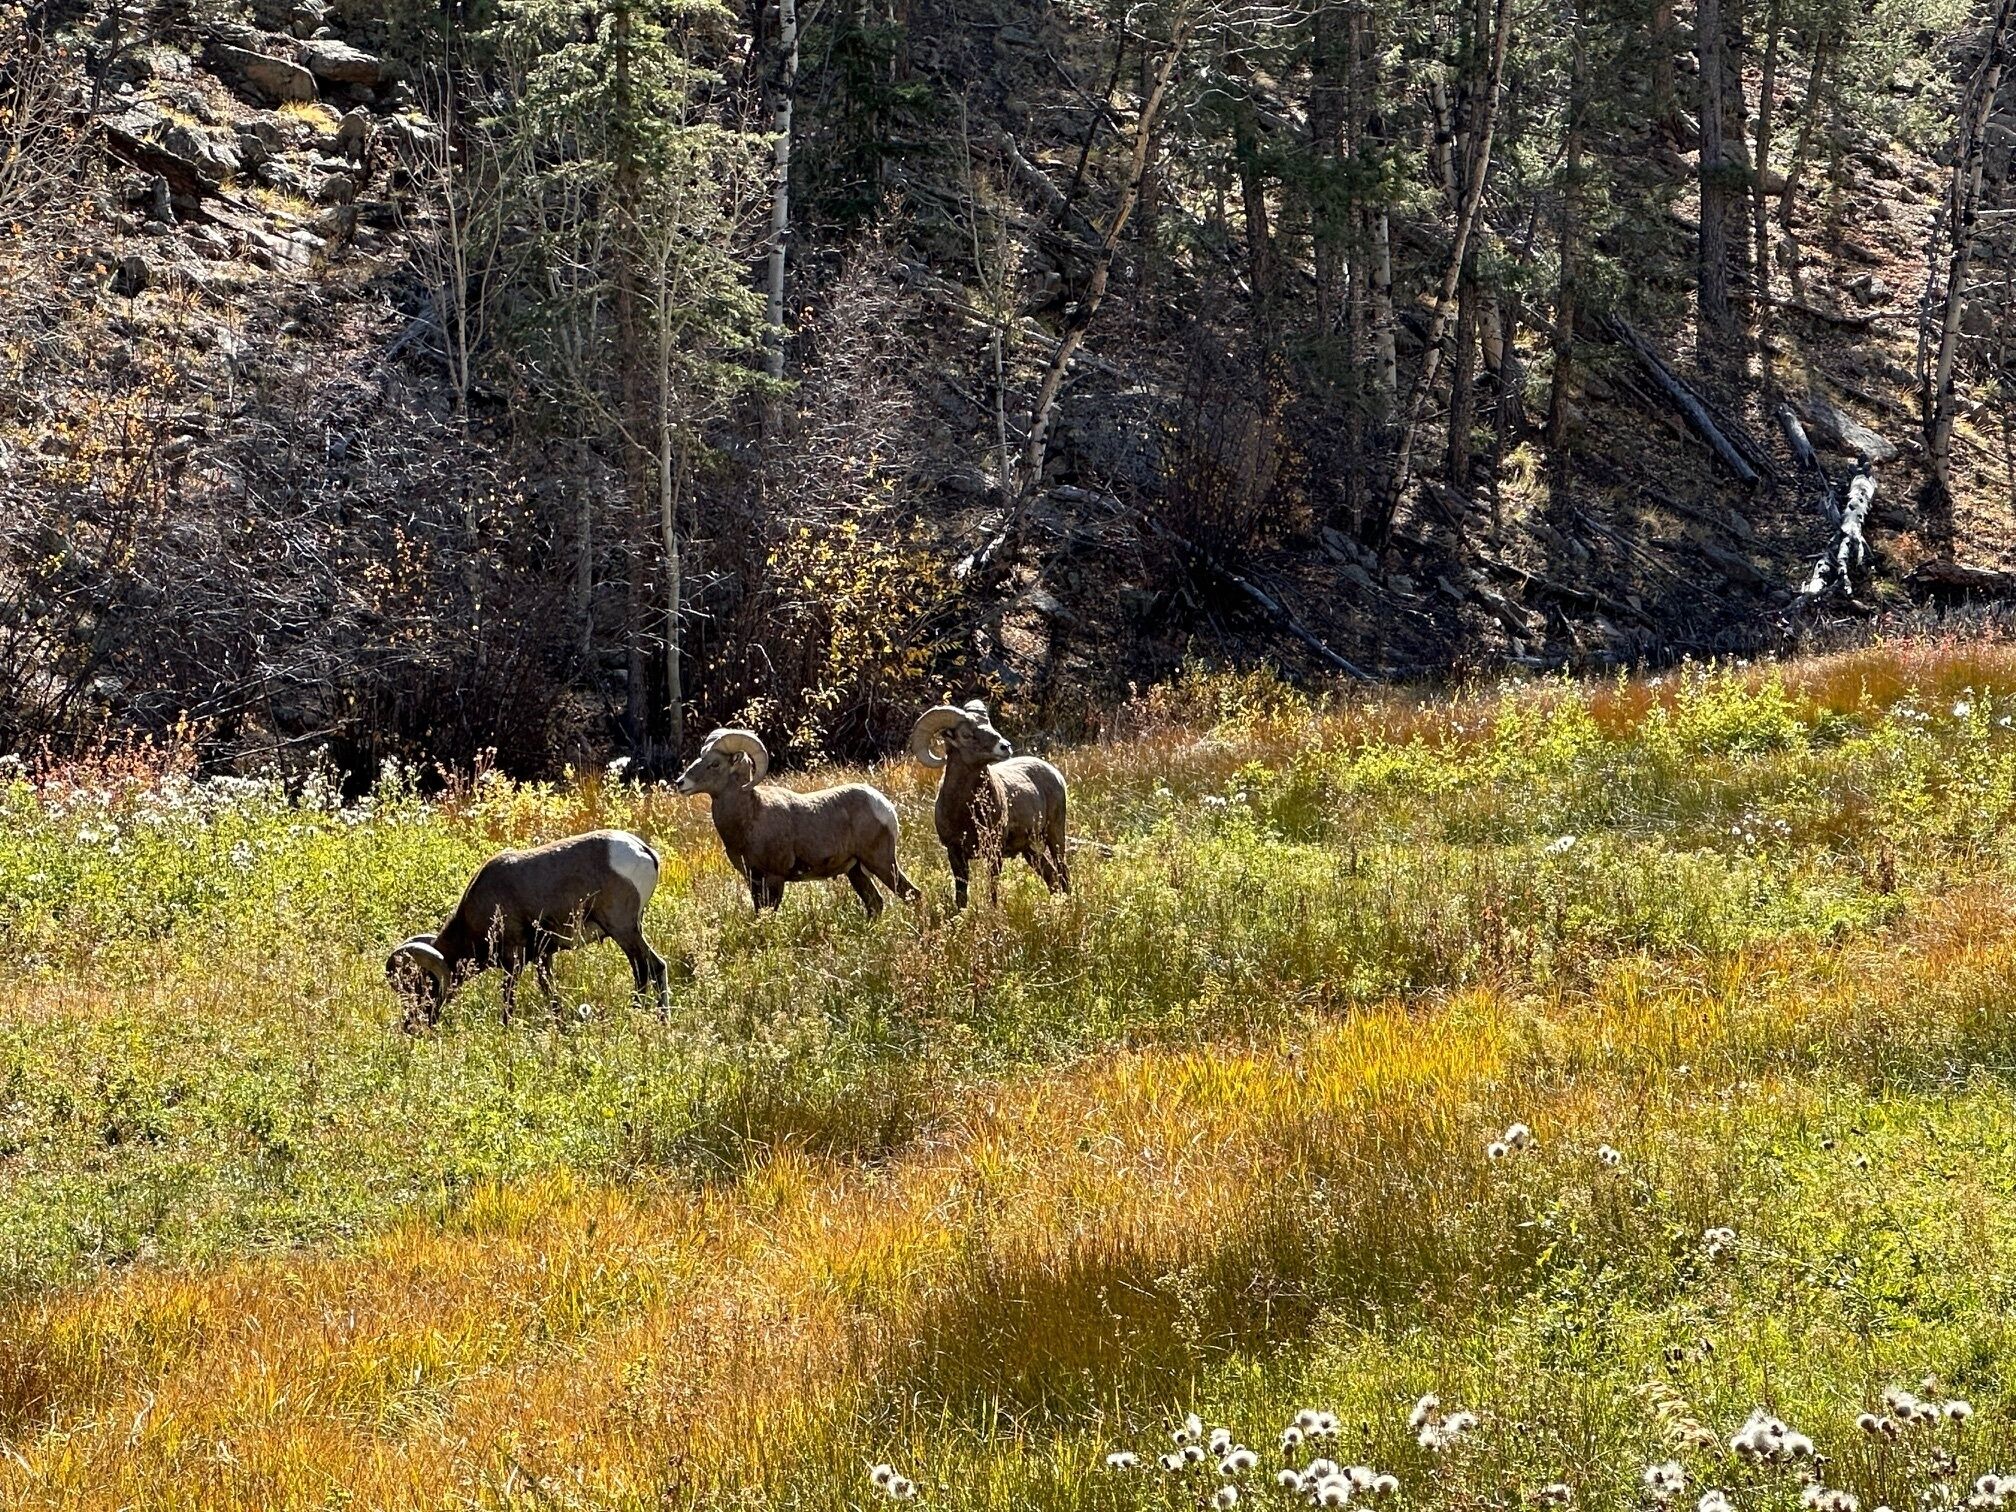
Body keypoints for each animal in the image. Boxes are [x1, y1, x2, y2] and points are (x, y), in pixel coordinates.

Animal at [385, 829, 670, 1029]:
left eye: (420, 986)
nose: (411, 1027)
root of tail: (644, 851)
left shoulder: (514, 961)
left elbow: (508, 1000)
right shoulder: (543, 957)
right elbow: (550, 995)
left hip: (623, 929)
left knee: (653, 967)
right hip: (628, 932)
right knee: (643, 970)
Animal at [674, 728, 920, 917]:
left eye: (714, 764)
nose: (680, 783)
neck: (749, 819)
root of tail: (884, 805)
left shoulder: (775, 878)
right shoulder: (754, 880)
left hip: (881, 862)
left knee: (912, 895)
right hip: (856, 870)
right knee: (875, 903)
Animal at [909, 700, 1069, 909]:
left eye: (990, 725)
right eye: (966, 734)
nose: (1005, 747)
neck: (966, 814)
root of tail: (1054, 774)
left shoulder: (994, 851)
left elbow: (992, 890)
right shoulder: (955, 852)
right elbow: (961, 895)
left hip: (1055, 835)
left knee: (1063, 873)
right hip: (1030, 849)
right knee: (1051, 878)